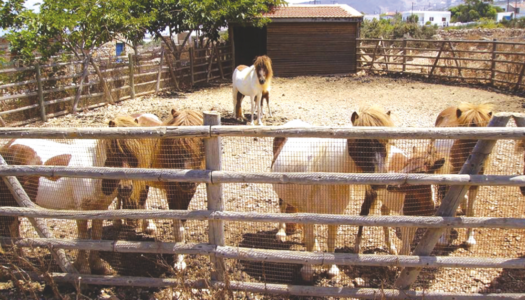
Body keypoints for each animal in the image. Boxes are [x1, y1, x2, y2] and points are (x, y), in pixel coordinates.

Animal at [0, 132, 149, 274]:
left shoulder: (100, 208)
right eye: (114, 154)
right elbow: (82, 238)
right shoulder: (81, 210)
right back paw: (19, 261)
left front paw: (99, 267)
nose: (125, 188)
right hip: (9, 200)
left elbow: (96, 235)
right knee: (11, 226)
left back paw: (21, 260)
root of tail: (8, 145)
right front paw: (83, 268)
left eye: (133, 156)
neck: (95, 171)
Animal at [272, 105, 390, 282]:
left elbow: (331, 241)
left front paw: (332, 269)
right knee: (282, 206)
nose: (381, 181)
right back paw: (281, 233)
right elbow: (309, 242)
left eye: (388, 141)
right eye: (361, 142)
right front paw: (307, 271)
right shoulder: (310, 213)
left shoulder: (334, 214)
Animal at [430, 102, 492, 247]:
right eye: (465, 135)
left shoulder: (474, 185)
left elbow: (470, 211)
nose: (476, 163)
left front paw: (469, 239)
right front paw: (444, 239)